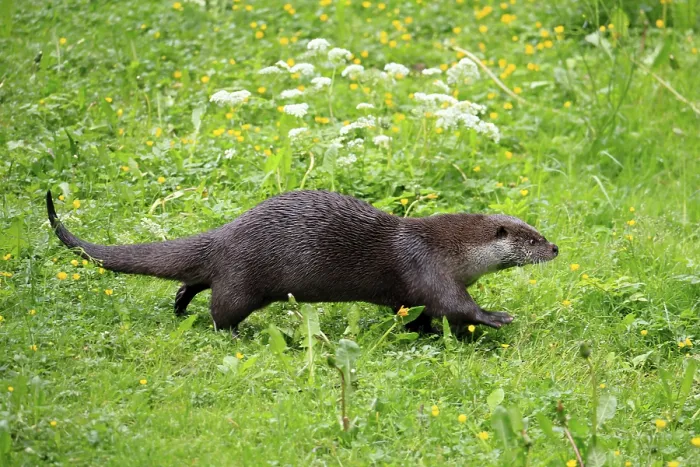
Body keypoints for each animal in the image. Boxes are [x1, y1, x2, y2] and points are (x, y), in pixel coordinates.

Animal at [46, 190, 558, 334]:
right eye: (533, 238)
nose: (555, 249)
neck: (448, 249)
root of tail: (226, 232)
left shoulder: (415, 290)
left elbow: (418, 315)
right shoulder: (428, 270)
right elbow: (454, 305)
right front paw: (495, 317)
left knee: (194, 282)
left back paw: (178, 304)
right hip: (245, 281)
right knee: (221, 311)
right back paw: (237, 335)